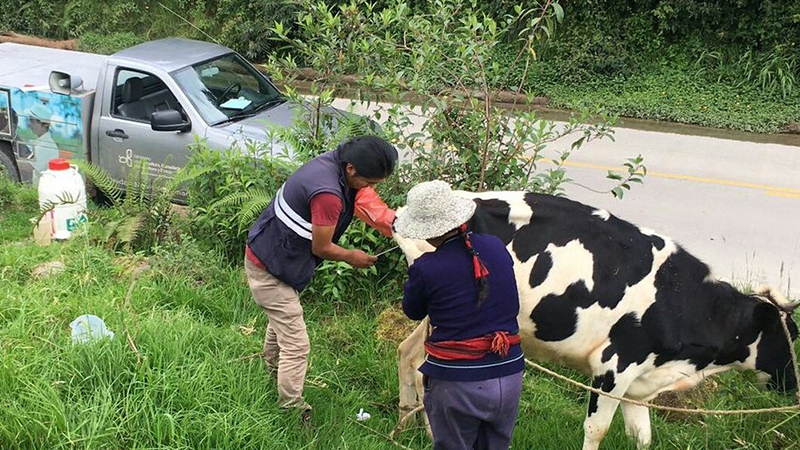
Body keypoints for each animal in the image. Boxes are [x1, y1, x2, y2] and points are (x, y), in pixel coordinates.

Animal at [393, 191, 799, 450]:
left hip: (429, 316)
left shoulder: (640, 383)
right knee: (428, 373)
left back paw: (406, 425)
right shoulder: (614, 365)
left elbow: (642, 438)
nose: (794, 386)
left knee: (407, 354)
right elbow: (597, 430)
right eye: (791, 335)